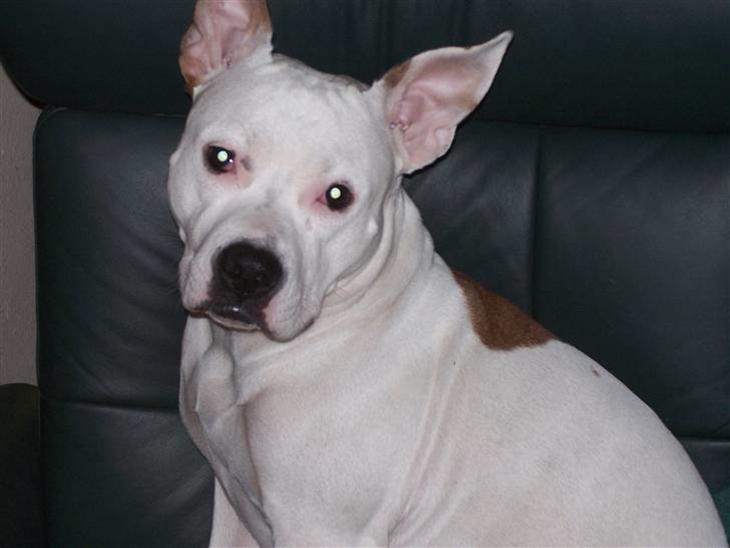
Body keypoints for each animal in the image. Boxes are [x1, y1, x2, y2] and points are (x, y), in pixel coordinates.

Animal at [167, 0, 726, 545]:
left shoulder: (322, 527)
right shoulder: (234, 504)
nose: (248, 270)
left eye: (337, 196)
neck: (241, 356)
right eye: (220, 157)